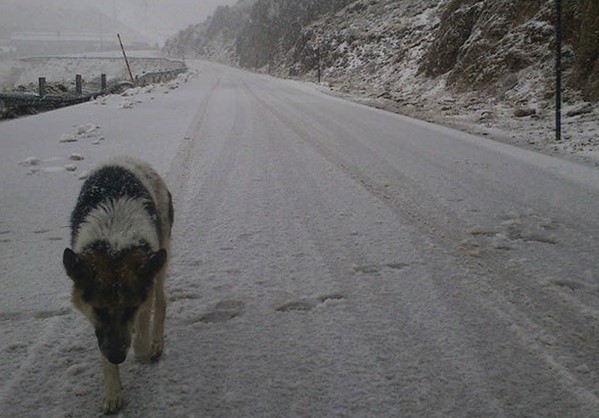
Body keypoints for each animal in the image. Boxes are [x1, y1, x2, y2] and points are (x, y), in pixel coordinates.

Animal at [64, 156, 175, 412]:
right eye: (99, 310)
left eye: (130, 308)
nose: (117, 357)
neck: (114, 243)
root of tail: (126, 158)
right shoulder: (99, 327)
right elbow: (104, 348)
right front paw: (113, 392)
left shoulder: (144, 293)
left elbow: (141, 338)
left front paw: (144, 346)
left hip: (161, 260)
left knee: (161, 301)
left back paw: (156, 342)